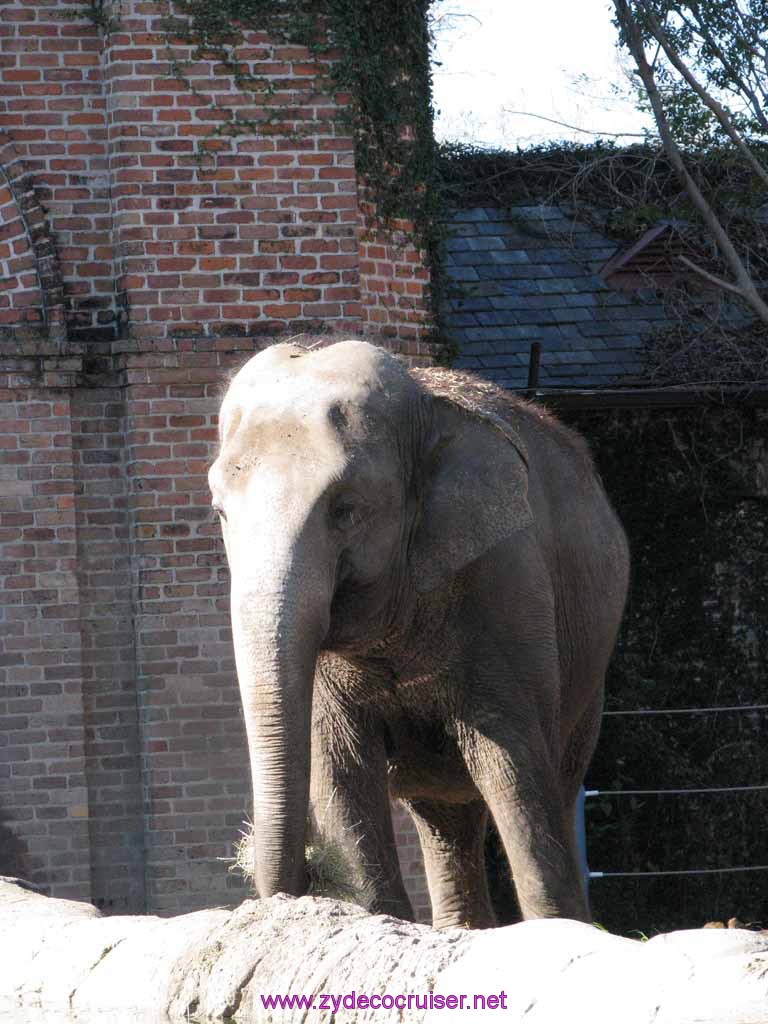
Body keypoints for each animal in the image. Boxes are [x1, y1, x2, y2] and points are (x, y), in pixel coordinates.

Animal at [208, 337, 630, 929]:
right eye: (220, 512)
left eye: (345, 510)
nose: (308, 874)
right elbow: (340, 772)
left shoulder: (506, 587)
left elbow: (513, 766)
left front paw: (556, 926)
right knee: (445, 819)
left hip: (588, 676)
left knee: (550, 779)